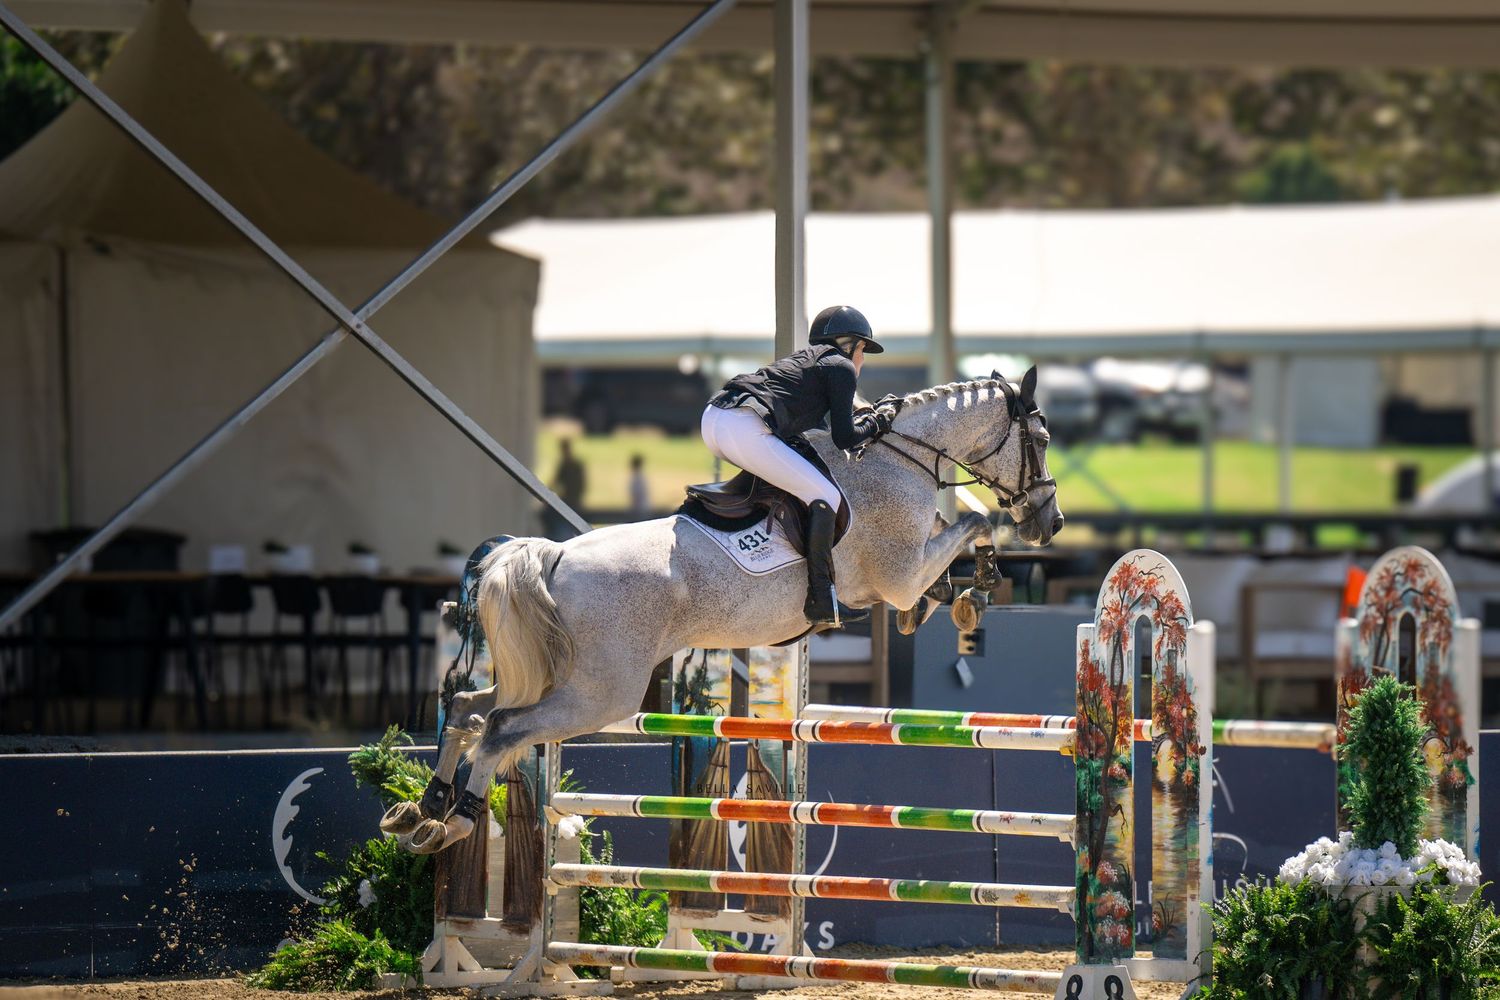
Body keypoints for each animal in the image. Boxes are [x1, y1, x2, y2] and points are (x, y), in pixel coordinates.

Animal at [382, 367, 1063, 854]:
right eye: (1042, 439)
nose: (1049, 523)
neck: (899, 456)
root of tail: (552, 555)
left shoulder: (900, 573)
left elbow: (954, 541)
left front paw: (949, 603)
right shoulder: (899, 572)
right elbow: (975, 522)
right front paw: (979, 586)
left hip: (556, 675)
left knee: (468, 708)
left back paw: (423, 810)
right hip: (601, 691)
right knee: (500, 729)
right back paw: (455, 825)